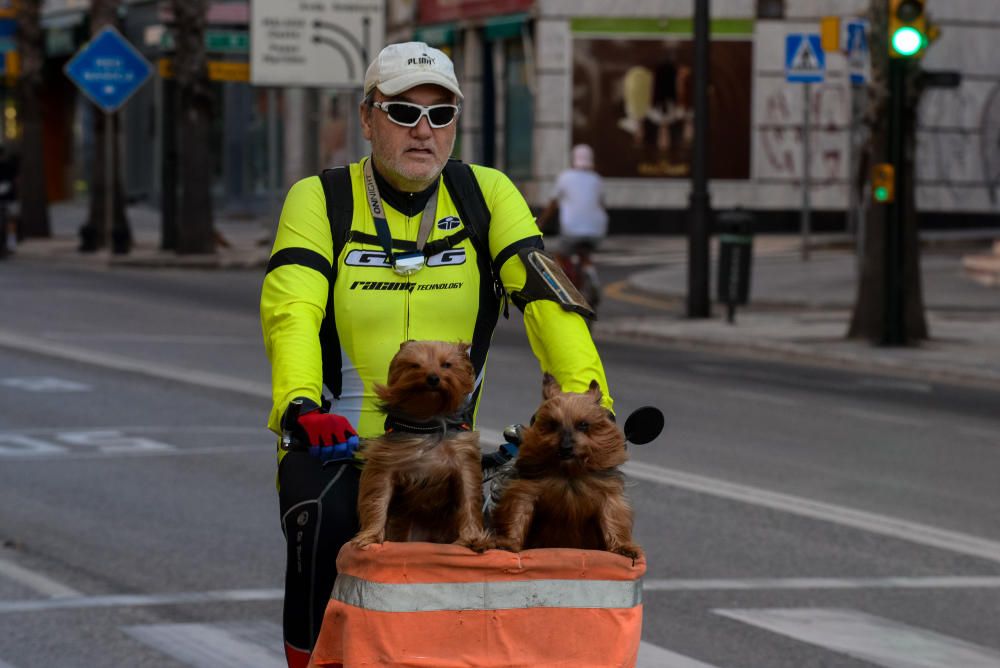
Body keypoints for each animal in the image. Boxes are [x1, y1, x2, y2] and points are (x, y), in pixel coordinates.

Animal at [352, 342, 492, 552]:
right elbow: (378, 498)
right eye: (415, 365)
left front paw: (472, 539)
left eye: (446, 365)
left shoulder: (464, 460)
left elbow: (469, 498)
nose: (433, 378)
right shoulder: (386, 461)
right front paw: (371, 536)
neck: (427, 420)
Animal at [490, 376, 640, 560]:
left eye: (583, 424)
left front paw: (623, 548)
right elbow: (517, 513)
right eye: (553, 424)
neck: (569, 472)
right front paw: (508, 543)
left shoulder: (608, 494)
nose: (566, 447)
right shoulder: (526, 490)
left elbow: (612, 518)